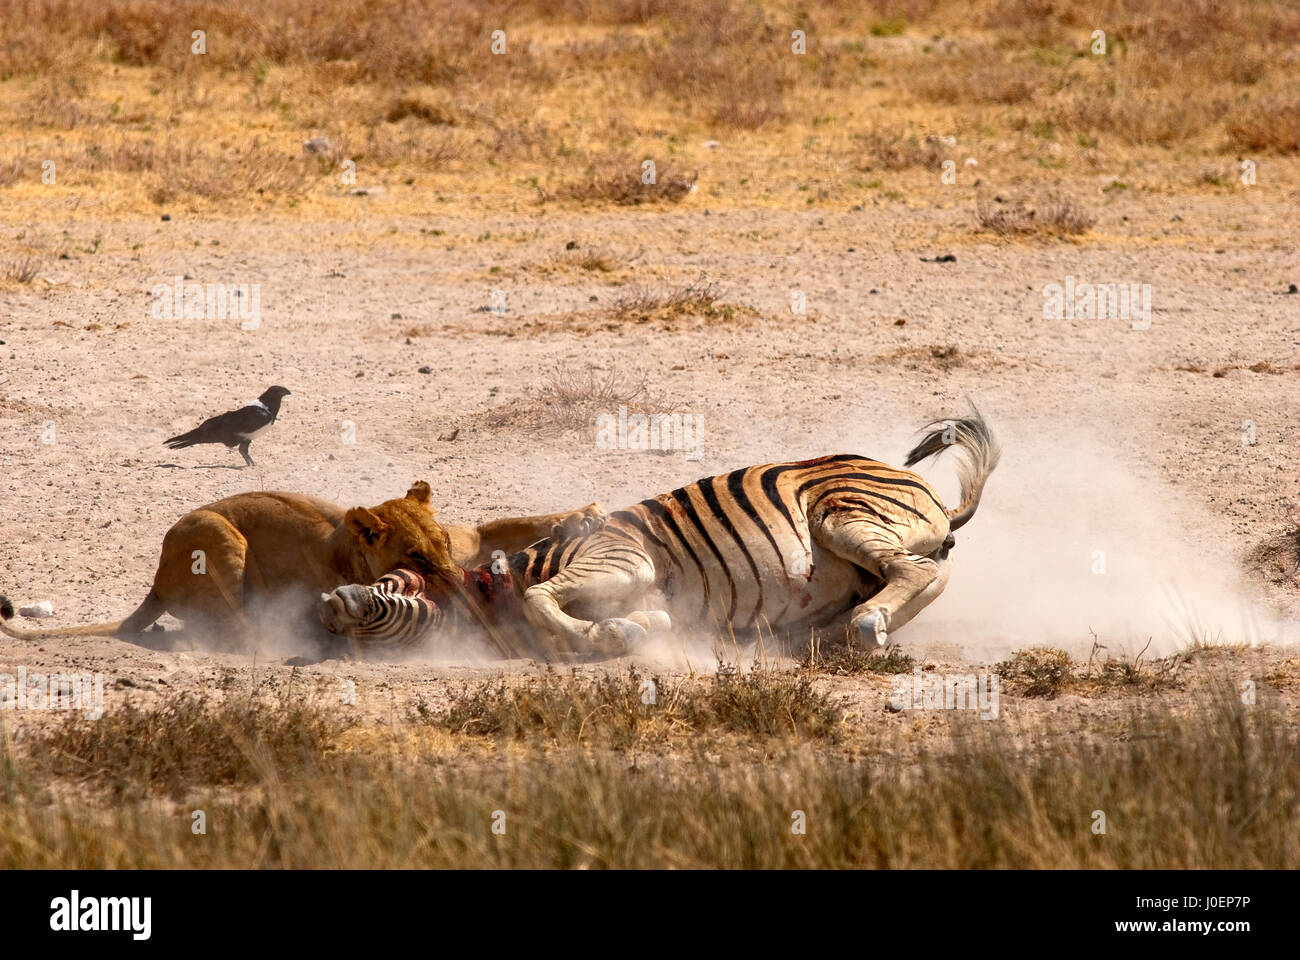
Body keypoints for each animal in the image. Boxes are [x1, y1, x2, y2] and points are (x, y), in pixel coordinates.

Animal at [318, 412, 1000, 658]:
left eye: (394, 585)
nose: (327, 606)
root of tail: (932, 495)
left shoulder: (618, 558)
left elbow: (541, 599)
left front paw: (614, 632)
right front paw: (629, 629)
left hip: (840, 515)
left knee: (914, 570)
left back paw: (862, 626)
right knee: (922, 576)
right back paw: (834, 631)